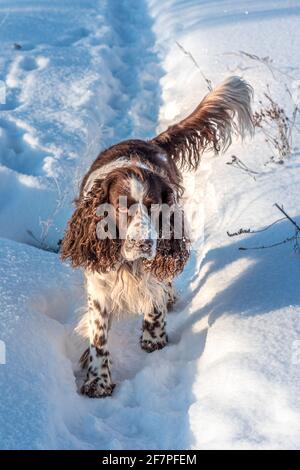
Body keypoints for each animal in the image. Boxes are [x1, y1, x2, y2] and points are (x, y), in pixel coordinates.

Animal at [61, 76, 253, 396]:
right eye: (119, 206)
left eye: (155, 206)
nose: (144, 243)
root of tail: (149, 142)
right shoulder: (99, 284)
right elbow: (98, 336)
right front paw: (98, 380)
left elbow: (155, 297)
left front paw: (153, 337)